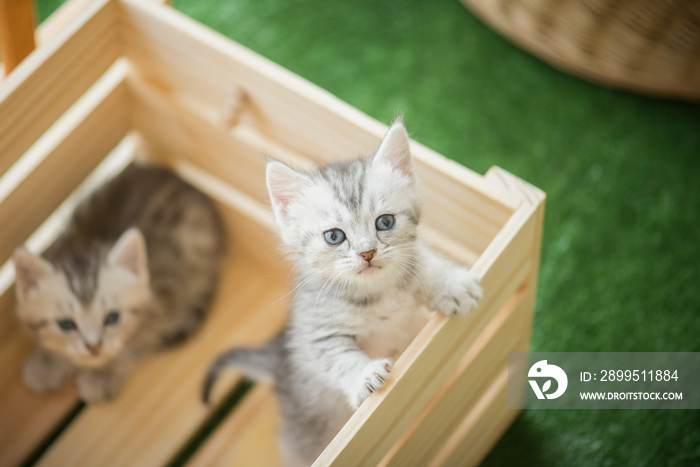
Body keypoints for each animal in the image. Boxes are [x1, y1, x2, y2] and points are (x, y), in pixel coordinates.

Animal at [12, 165, 224, 402]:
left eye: (112, 318)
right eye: (66, 324)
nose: (94, 348)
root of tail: (178, 178)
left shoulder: (166, 299)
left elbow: (137, 341)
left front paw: (104, 374)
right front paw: (47, 362)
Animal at [202, 121, 482, 467]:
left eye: (385, 221)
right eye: (334, 237)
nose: (367, 253)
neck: (376, 293)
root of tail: (279, 362)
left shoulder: (409, 262)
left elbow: (422, 263)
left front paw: (451, 283)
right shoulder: (318, 331)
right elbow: (341, 359)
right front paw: (364, 374)